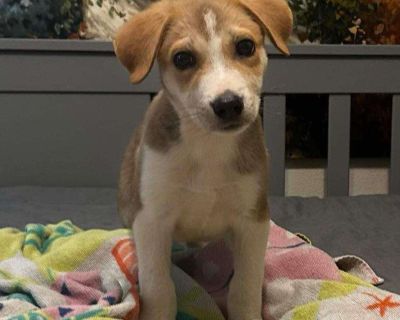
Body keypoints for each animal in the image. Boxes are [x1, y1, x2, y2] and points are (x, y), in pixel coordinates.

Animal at [114, 1, 292, 318]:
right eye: (183, 58)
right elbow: (159, 289)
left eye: (245, 46)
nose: (228, 104)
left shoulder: (252, 221)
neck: (208, 146)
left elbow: (244, 290)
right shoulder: (152, 220)